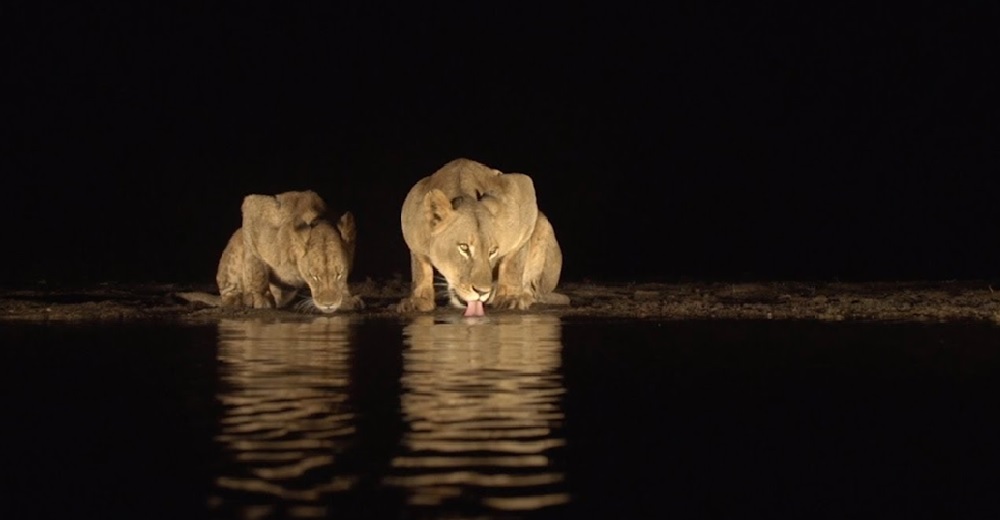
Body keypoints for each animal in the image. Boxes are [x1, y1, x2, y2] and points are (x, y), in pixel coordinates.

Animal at [217, 191, 362, 312]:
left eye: (339, 274)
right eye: (314, 276)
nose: (328, 305)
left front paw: (347, 299)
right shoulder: (253, 207)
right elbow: (256, 268)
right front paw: (261, 298)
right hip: (237, 240)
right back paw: (236, 299)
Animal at [398, 157, 572, 316]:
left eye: (492, 251)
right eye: (464, 248)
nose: (482, 292)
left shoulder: (523, 193)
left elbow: (513, 264)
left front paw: (510, 297)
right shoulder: (411, 225)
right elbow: (421, 268)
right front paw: (418, 300)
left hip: (543, 226)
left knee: (536, 291)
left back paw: (525, 296)